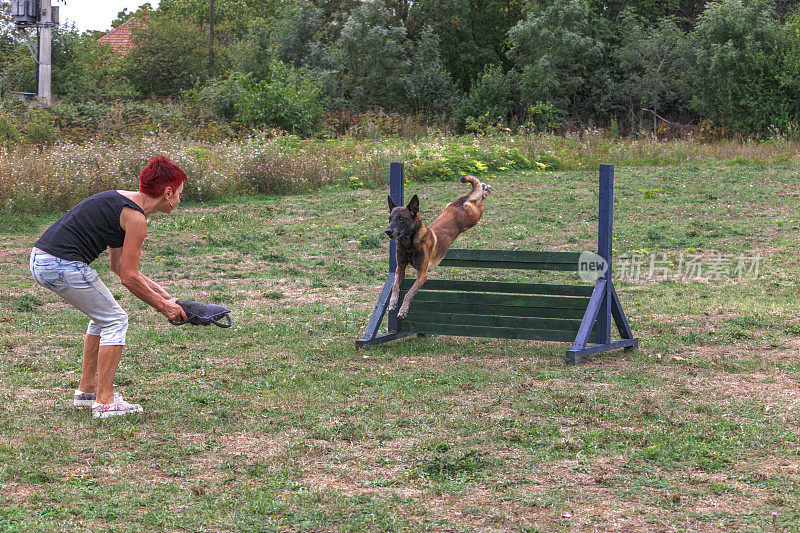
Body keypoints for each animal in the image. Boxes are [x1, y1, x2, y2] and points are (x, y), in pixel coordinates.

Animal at [386, 176, 490, 316]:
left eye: (401, 218)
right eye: (390, 219)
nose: (387, 231)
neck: (409, 245)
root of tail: (457, 203)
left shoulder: (422, 274)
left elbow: (409, 293)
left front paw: (403, 310)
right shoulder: (400, 268)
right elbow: (396, 287)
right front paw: (392, 303)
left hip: (474, 218)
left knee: (480, 203)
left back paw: (485, 191)